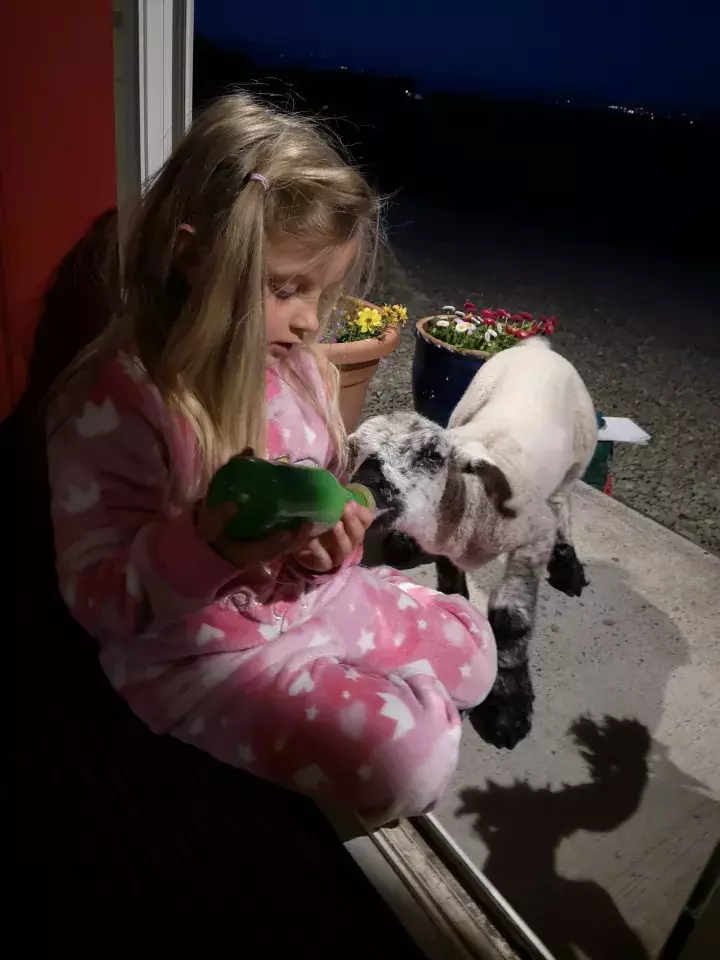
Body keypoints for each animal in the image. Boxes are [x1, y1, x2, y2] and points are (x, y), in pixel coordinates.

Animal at [350, 338, 596, 752]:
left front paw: (508, 708)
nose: (367, 479)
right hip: (466, 403)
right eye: (353, 451)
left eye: (432, 455)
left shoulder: (535, 533)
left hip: (579, 453)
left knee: (564, 502)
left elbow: (510, 616)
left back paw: (567, 565)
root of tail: (538, 346)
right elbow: (451, 584)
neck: (469, 504)